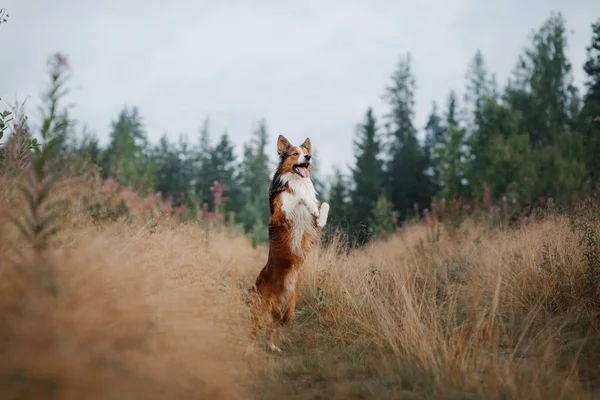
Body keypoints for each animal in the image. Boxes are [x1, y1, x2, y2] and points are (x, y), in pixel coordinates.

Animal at [247, 135, 330, 354]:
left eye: (306, 152)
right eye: (295, 154)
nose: (308, 157)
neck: (297, 180)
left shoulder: (311, 222)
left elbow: (324, 204)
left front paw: (321, 217)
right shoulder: (279, 216)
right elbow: (299, 197)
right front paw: (308, 202)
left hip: (288, 313)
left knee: (271, 327)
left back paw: (272, 347)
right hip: (263, 307)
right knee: (255, 328)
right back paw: (249, 348)